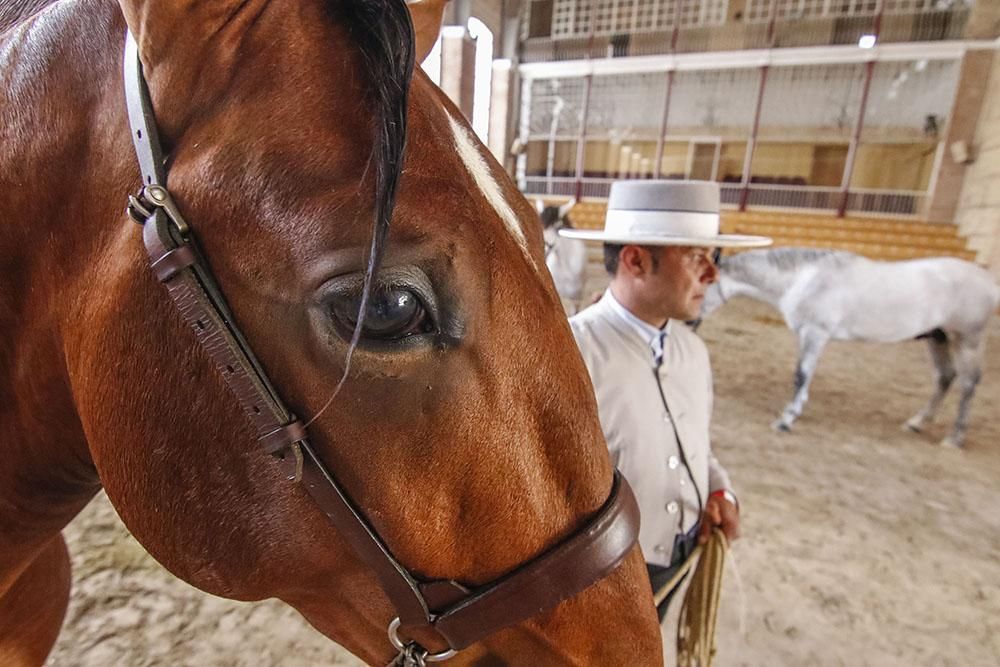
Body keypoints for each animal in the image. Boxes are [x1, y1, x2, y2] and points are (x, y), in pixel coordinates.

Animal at [700, 247, 996, 448]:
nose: (691, 322)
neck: (804, 280)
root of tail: (989, 281)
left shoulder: (815, 333)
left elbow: (801, 375)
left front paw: (786, 420)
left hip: (967, 340)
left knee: (968, 384)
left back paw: (954, 438)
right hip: (938, 338)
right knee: (945, 377)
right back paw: (916, 423)